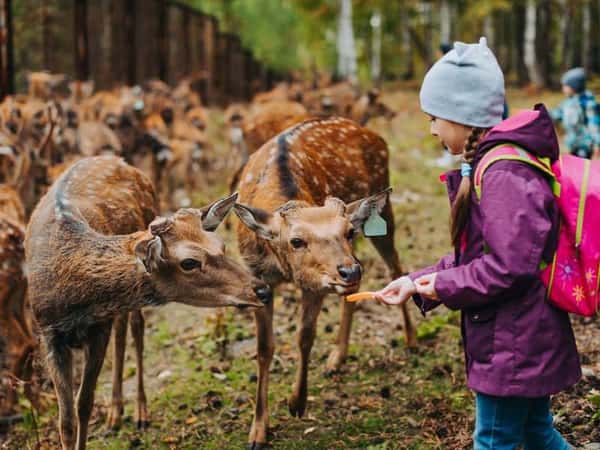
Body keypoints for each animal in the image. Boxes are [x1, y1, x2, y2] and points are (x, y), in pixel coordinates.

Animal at [25, 156, 272, 450]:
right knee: (124, 331)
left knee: (136, 329)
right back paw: (115, 414)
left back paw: (138, 412)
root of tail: (117, 159)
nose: (262, 290)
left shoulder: (99, 327)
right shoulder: (48, 335)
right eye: (189, 262)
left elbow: (84, 404)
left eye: (221, 246)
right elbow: (66, 421)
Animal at [234, 117, 418, 450]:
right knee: (359, 289)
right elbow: (264, 348)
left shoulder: (315, 283)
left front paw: (296, 402)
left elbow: (305, 336)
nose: (349, 271)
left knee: (394, 266)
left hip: (382, 215)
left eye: (347, 230)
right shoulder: (258, 279)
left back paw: (411, 339)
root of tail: (371, 133)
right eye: (296, 241)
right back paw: (337, 358)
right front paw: (258, 431)